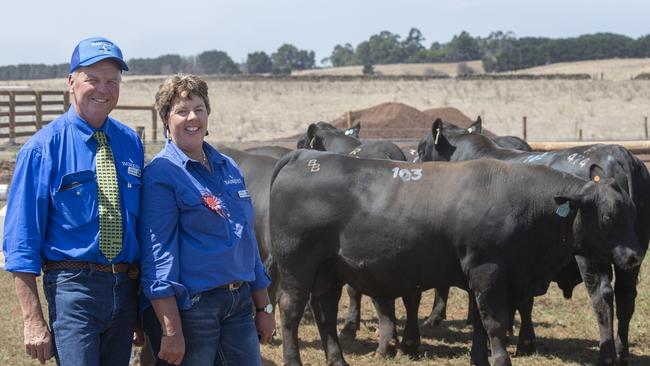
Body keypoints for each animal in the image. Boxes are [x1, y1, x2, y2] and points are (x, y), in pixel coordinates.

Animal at [270, 149, 644, 366]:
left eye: (632, 211)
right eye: (609, 216)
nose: (634, 255)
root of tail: (303, 157)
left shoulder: (481, 275)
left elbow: (479, 324)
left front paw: (480, 359)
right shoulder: (487, 270)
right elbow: (493, 322)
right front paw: (501, 359)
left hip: (328, 271)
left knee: (325, 313)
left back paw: (338, 361)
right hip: (297, 266)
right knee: (290, 312)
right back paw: (293, 360)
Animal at [416, 118, 648, 364]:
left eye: (421, 150)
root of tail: (619, 153)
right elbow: (523, 302)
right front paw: (523, 341)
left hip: (593, 257)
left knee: (602, 297)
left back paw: (607, 355)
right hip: (632, 254)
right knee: (626, 297)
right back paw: (622, 352)